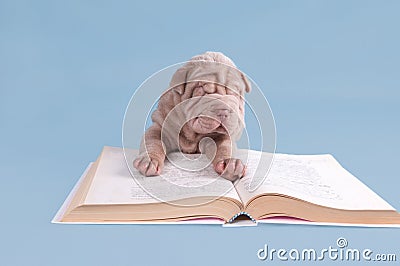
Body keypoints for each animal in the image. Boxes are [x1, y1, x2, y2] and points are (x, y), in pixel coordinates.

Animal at [134, 52, 250, 181]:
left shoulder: (221, 136)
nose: (224, 110)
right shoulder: (161, 126)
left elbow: (224, 146)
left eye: (235, 94)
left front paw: (231, 164)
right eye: (202, 89)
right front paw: (149, 161)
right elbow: (153, 141)